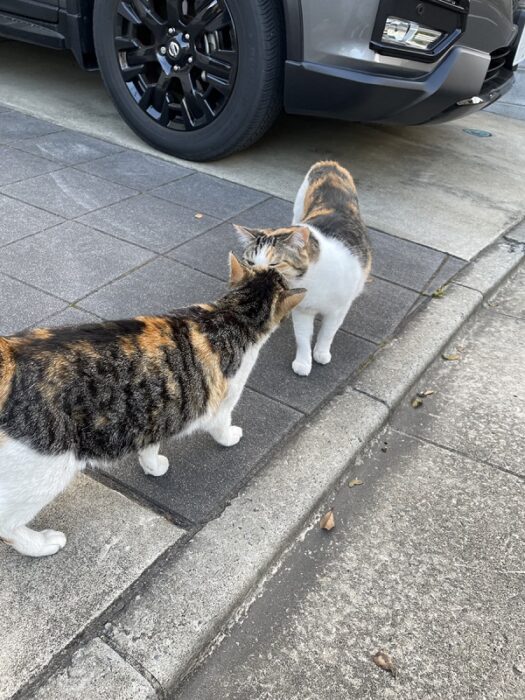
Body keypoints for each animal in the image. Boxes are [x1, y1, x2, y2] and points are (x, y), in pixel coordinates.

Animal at [0, 258, 304, 556]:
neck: (232, 315)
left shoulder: (154, 412)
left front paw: (153, 466)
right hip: (46, 470)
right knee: (7, 525)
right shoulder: (223, 403)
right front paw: (230, 437)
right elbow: (222, 426)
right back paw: (41, 544)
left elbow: (150, 445)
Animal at [235, 161, 370, 378]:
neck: (309, 281)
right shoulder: (303, 311)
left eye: (274, 264)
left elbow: (327, 333)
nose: (256, 278)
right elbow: (302, 337)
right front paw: (303, 362)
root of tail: (329, 163)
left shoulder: (338, 309)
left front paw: (321, 353)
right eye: (250, 262)